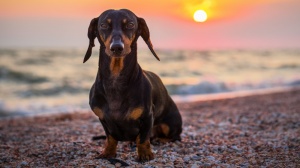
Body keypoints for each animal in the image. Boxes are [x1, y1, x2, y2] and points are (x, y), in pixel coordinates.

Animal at [82, 8, 183, 161]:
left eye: (130, 24)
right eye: (104, 25)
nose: (116, 48)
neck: (116, 80)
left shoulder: (147, 117)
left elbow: (142, 138)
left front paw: (145, 154)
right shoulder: (103, 119)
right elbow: (110, 138)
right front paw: (108, 153)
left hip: (169, 125)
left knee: (174, 137)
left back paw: (161, 139)